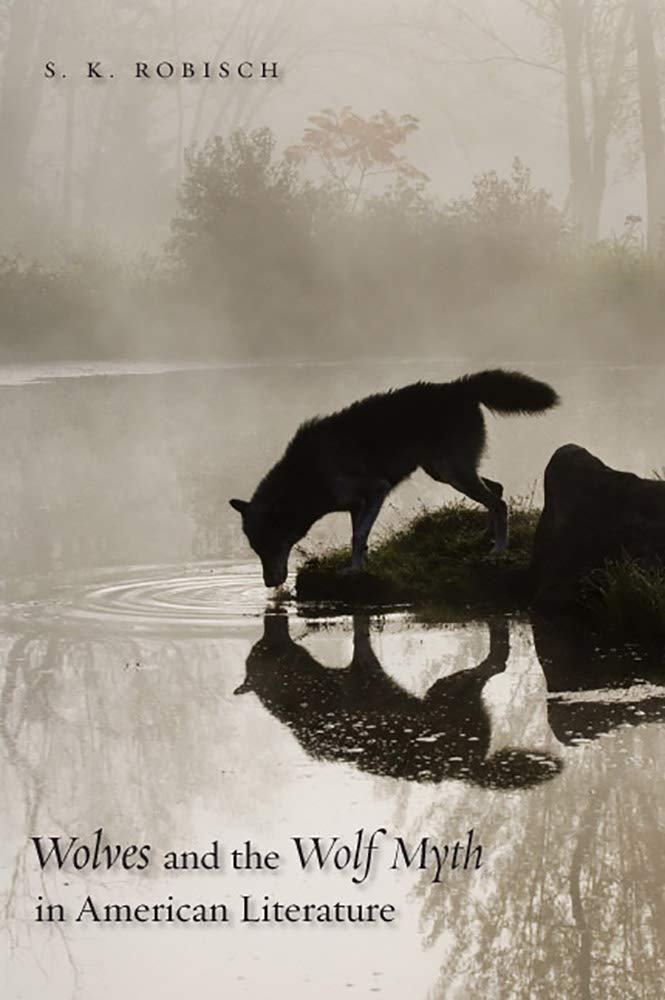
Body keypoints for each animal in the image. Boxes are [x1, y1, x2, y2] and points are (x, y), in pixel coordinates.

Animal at [230, 368, 559, 587]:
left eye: (270, 547)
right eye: (256, 550)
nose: (269, 584)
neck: (307, 476)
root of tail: (458, 386)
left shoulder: (377, 490)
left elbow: (358, 536)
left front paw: (354, 571)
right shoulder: (356, 505)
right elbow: (359, 537)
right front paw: (361, 566)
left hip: (452, 473)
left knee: (498, 502)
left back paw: (498, 550)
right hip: (444, 473)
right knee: (497, 490)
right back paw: (485, 537)